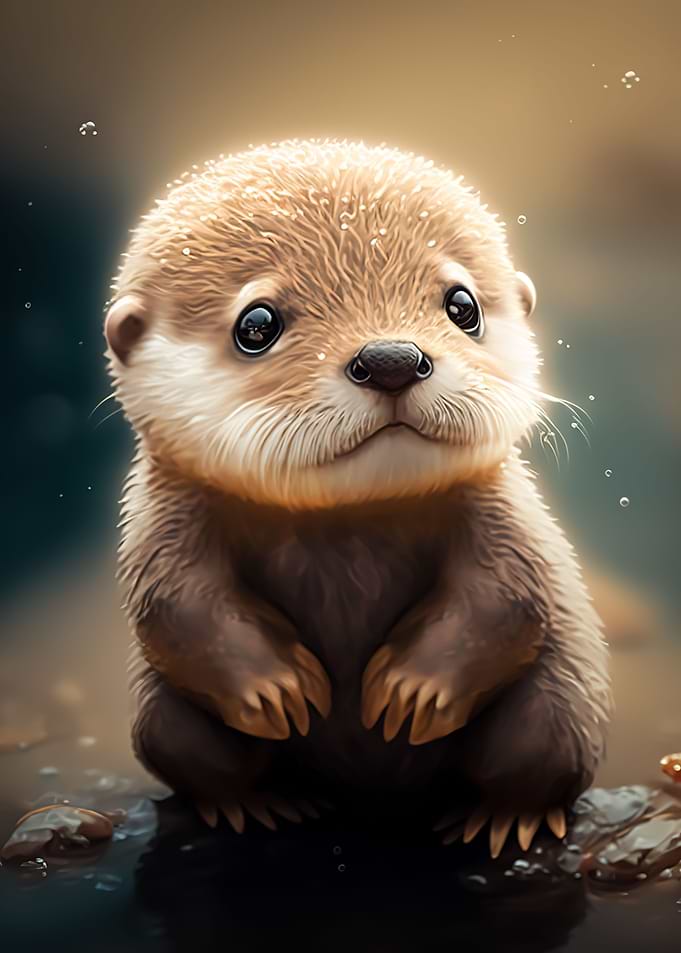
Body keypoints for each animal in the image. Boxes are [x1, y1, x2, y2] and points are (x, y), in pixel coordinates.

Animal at [104, 139, 612, 859]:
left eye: (462, 306)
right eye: (256, 323)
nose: (392, 358)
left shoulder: (506, 515)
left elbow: (508, 600)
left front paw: (412, 690)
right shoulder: (161, 521)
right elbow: (178, 608)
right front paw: (277, 687)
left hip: (559, 704)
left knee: (534, 753)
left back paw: (505, 817)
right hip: (161, 717)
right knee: (200, 757)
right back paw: (256, 803)